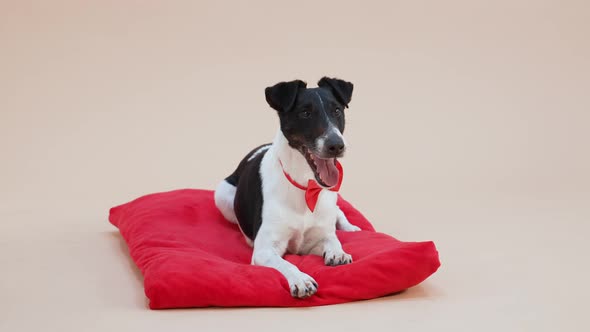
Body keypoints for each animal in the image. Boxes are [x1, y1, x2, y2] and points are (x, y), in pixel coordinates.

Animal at [214, 77, 360, 298]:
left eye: (337, 110)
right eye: (305, 113)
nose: (336, 145)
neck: (305, 188)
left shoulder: (319, 236)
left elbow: (332, 239)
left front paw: (339, 251)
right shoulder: (265, 250)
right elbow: (286, 264)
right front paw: (301, 279)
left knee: (339, 211)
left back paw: (351, 227)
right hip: (223, 197)